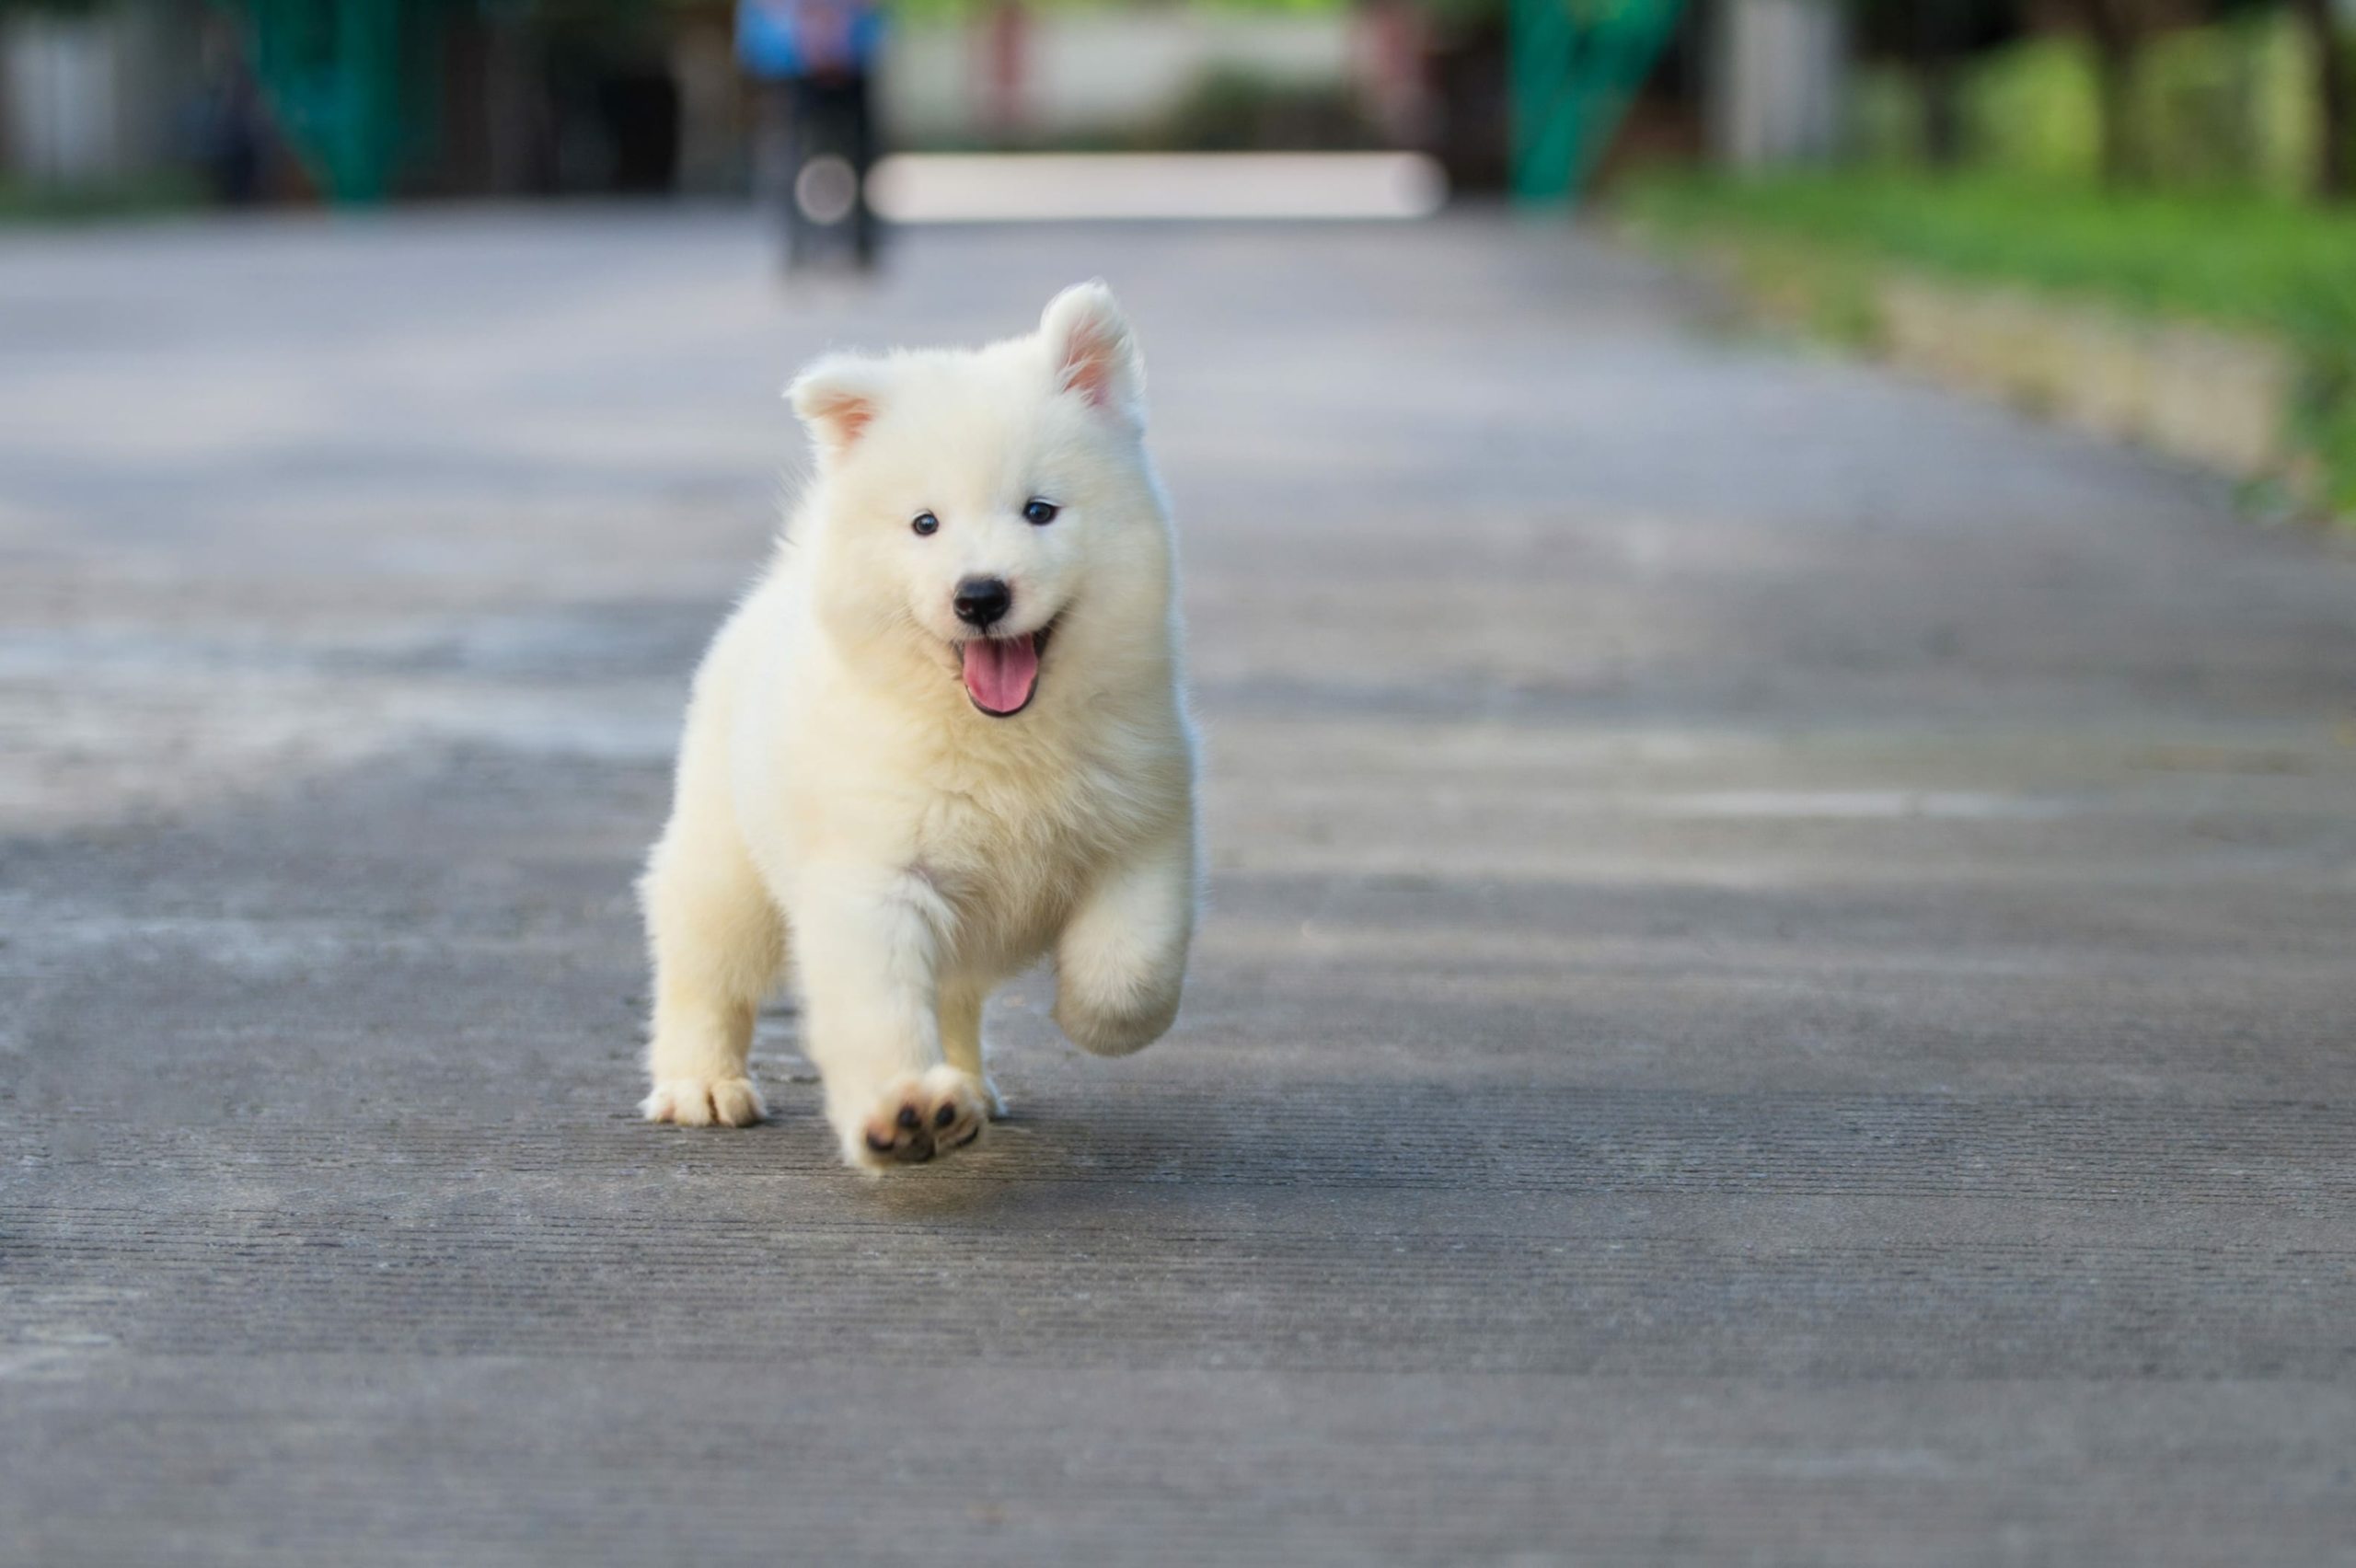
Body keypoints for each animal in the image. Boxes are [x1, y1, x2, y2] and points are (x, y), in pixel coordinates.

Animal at [636, 281, 1196, 1168]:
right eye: (924, 524)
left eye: (1040, 511)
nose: (981, 595)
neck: (999, 737)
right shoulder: (875, 875)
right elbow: (879, 1009)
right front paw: (902, 1110)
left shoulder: (1143, 828)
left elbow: (1133, 963)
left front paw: (1090, 1019)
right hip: (727, 860)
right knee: (702, 965)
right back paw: (702, 1085)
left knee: (958, 995)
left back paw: (969, 1088)